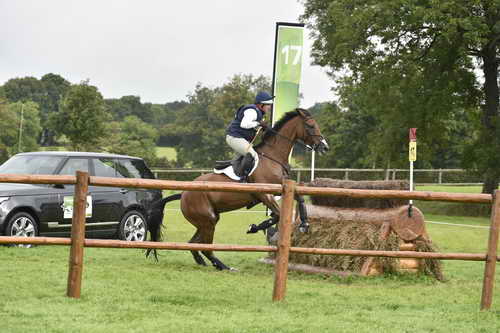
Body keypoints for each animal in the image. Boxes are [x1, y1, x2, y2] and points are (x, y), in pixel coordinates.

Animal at [147, 107, 328, 268]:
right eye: (311, 126)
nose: (324, 147)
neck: (273, 157)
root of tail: (184, 193)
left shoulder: (281, 188)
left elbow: (300, 199)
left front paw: (304, 223)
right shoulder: (265, 195)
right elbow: (277, 215)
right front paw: (254, 228)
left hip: (206, 221)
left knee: (194, 244)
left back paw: (205, 263)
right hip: (208, 220)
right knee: (206, 248)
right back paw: (223, 266)